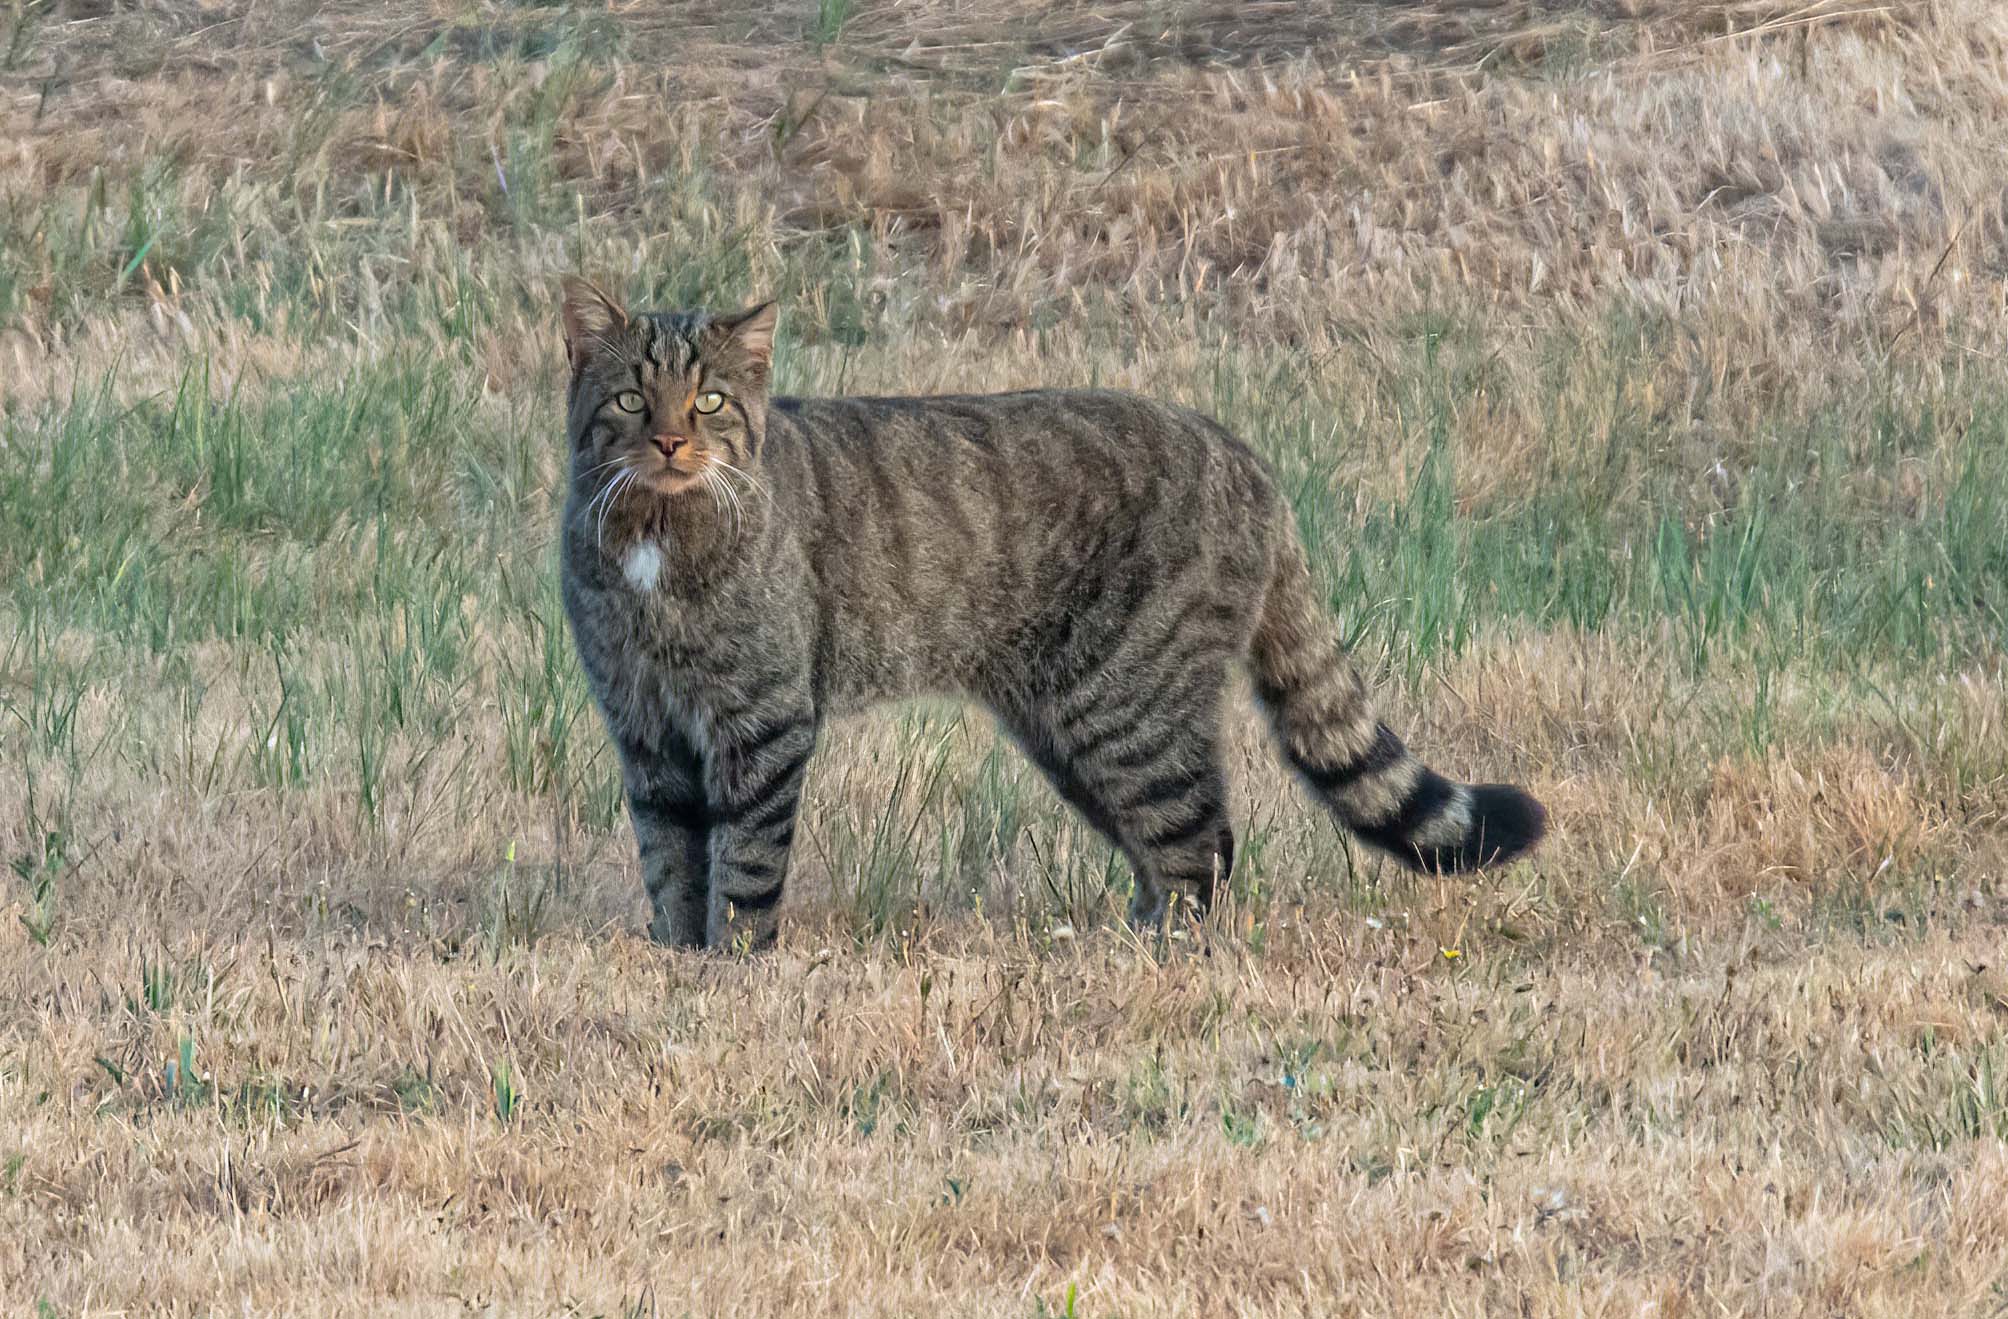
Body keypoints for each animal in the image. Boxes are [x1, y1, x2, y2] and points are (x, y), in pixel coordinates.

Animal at [558, 283, 1542, 951]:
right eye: (630, 399)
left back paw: (1160, 949)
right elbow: (669, 854)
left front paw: (736, 961)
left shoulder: (759, 718)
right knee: (1173, 842)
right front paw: (678, 957)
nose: (670, 440)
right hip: (1071, 734)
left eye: (710, 400)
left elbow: (746, 856)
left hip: (1124, 710)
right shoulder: (644, 725)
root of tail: (1237, 447)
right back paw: (1134, 931)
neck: (657, 535)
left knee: (1202, 840)